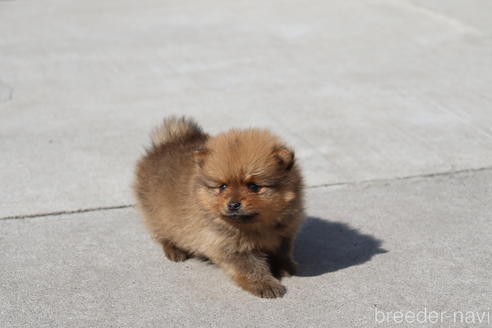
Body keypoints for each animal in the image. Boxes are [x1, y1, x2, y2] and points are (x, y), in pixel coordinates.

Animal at [135, 116, 304, 298]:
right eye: (222, 186)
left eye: (253, 186)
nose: (233, 204)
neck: (256, 227)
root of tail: (169, 141)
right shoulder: (228, 246)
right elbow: (250, 268)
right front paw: (265, 285)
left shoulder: (284, 234)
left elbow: (282, 252)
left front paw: (286, 268)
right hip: (158, 215)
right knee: (162, 234)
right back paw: (174, 250)